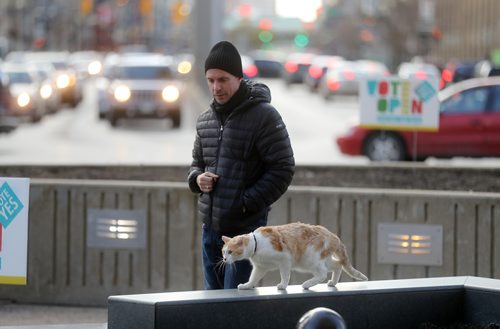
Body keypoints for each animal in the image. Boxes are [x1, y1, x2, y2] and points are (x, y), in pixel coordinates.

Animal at [222, 222, 368, 288]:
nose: (224, 259)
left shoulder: (285, 259)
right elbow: (253, 278)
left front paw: (283, 285)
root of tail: (333, 235)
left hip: (310, 259)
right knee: (338, 265)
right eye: (223, 251)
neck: (256, 243)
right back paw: (333, 282)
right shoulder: (260, 267)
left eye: (230, 252)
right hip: (321, 260)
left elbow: (285, 275)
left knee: (322, 274)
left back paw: (307, 284)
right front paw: (247, 286)